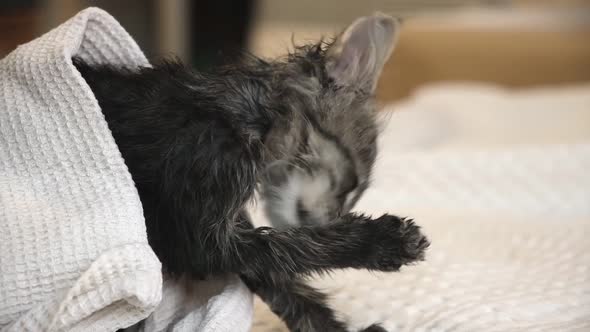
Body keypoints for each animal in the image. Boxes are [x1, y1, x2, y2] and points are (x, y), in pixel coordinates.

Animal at [76, 13, 432, 332]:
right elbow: (293, 248)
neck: (245, 117)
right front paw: (384, 241)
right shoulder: (201, 237)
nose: (334, 217)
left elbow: (280, 278)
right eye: (349, 185)